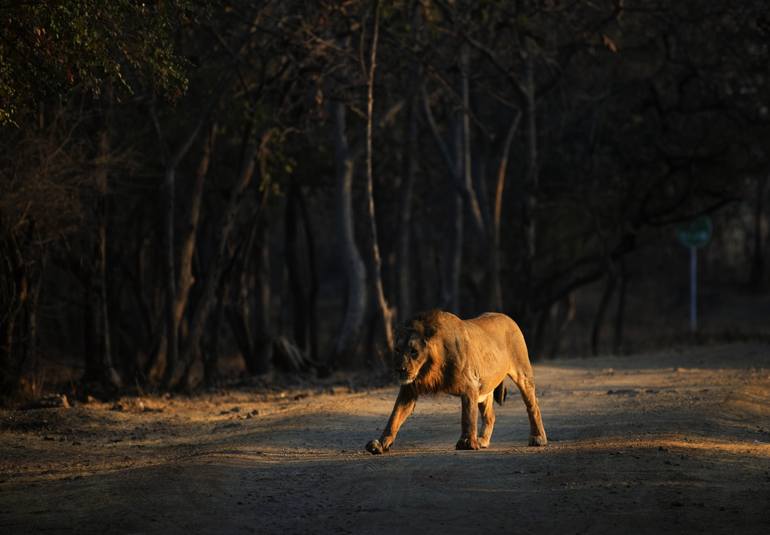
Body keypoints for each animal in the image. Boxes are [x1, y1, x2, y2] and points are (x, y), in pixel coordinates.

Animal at [364, 310, 544, 456]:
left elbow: (467, 416)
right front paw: (380, 444)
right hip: (484, 389)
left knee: (533, 406)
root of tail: (508, 317)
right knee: (490, 415)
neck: (429, 369)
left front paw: (466, 442)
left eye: (414, 351)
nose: (399, 369)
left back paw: (538, 438)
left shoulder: (470, 385)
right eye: (397, 350)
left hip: (522, 374)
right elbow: (394, 417)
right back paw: (482, 440)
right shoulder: (409, 389)